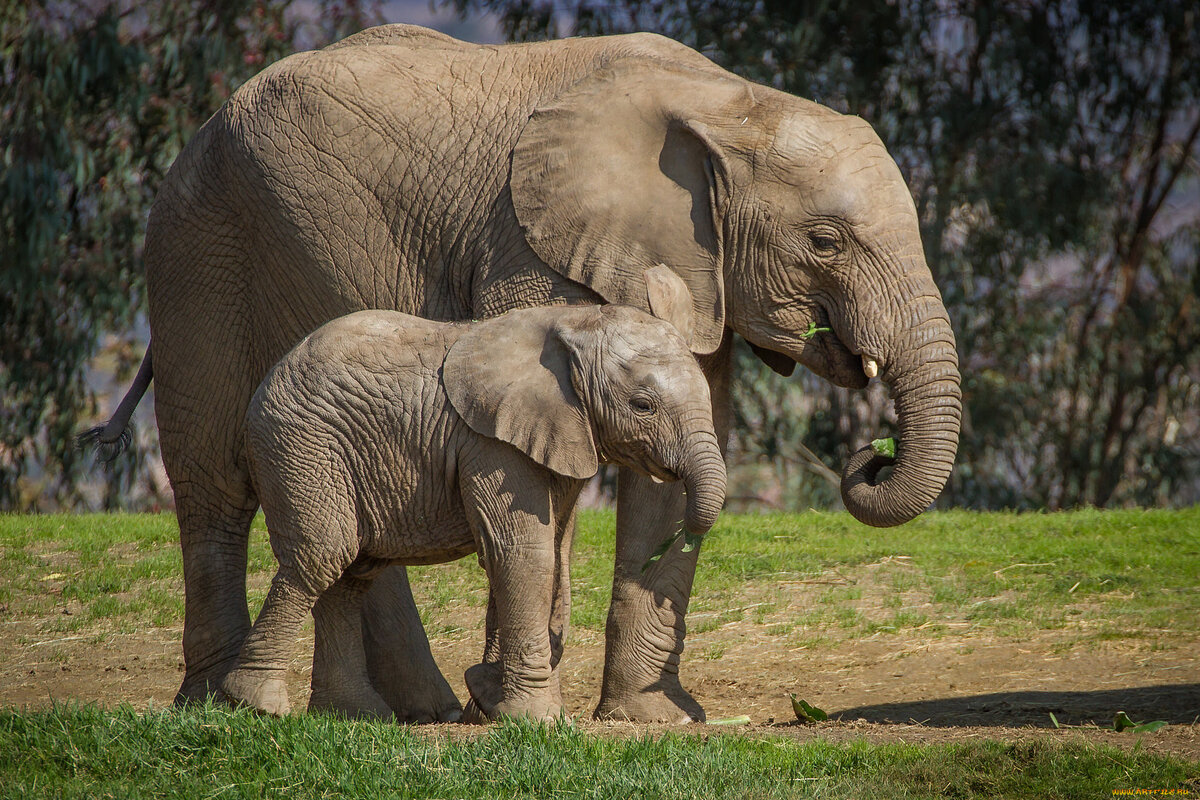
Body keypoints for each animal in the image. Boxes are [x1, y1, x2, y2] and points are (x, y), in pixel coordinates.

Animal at [220, 297, 724, 724]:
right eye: (643, 406)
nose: (681, 534)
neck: (573, 320)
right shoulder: (491, 441)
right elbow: (524, 553)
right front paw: (537, 720)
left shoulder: (560, 435)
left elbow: (554, 551)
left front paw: (492, 698)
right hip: (299, 448)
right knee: (323, 555)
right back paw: (258, 704)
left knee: (350, 576)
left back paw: (355, 715)